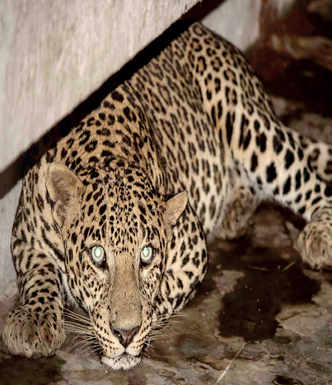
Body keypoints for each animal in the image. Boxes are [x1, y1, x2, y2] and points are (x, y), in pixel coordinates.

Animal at [1, 21, 332, 368]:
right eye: (97, 255)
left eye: (146, 254)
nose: (125, 334)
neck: (106, 157)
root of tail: (206, 32)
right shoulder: (25, 237)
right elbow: (37, 274)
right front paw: (33, 320)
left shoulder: (194, 251)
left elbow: (160, 292)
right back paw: (235, 214)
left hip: (248, 126)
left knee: (311, 183)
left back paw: (319, 235)